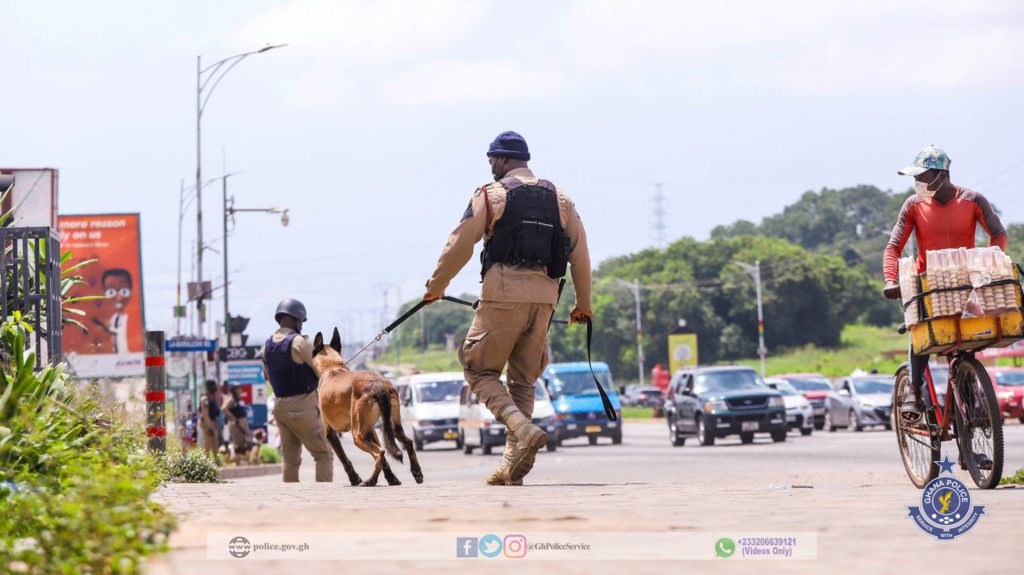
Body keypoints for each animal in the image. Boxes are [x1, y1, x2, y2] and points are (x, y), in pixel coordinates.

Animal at [311, 327, 423, 482]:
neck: (332, 367)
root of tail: (377, 385)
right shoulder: (370, 429)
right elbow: (384, 461)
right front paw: (391, 478)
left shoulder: (331, 433)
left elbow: (344, 459)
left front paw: (354, 478)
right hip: (392, 425)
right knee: (407, 442)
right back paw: (416, 471)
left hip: (357, 435)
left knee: (380, 452)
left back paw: (370, 481)